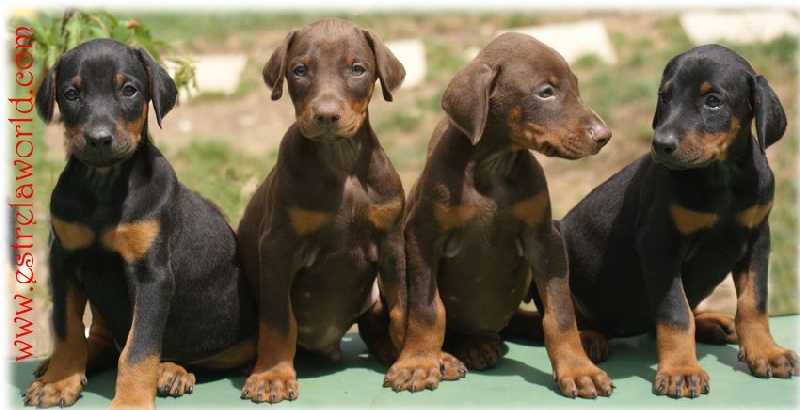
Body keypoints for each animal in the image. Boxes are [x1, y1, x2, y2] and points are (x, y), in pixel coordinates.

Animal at [24, 38, 256, 406]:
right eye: (71, 94)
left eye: (129, 90)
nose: (99, 139)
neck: (103, 186)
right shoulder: (63, 261)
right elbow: (66, 329)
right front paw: (59, 382)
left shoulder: (152, 275)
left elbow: (140, 347)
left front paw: (131, 401)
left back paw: (173, 371)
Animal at [234, 19, 404, 404]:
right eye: (299, 70)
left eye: (357, 69)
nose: (326, 115)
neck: (340, 161)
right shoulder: (278, 246)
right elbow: (279, 321)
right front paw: (272, 375)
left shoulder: (392, 241)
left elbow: (405, 309)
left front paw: (422, 358)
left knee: (374, 322)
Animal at [384, 33, 616, 398]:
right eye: (545, 92)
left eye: (575, 86)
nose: (604, 136)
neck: (493, 165)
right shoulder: (422, 237)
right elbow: (426, 310)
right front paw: (418, 362)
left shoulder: (544, 239)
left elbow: (559, 312)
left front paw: (578, 369)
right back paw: (460, 351)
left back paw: (585, 336)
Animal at [556, 44, 800, 398]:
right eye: (665, 96)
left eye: (713, 100)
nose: (661, 144)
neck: (722, 177)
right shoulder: (659, 246)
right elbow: (675, 313)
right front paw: (681, 370)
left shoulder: (757, 236)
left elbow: (754, 301)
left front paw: (766, 352)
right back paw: (588, 336)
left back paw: (711, 323)